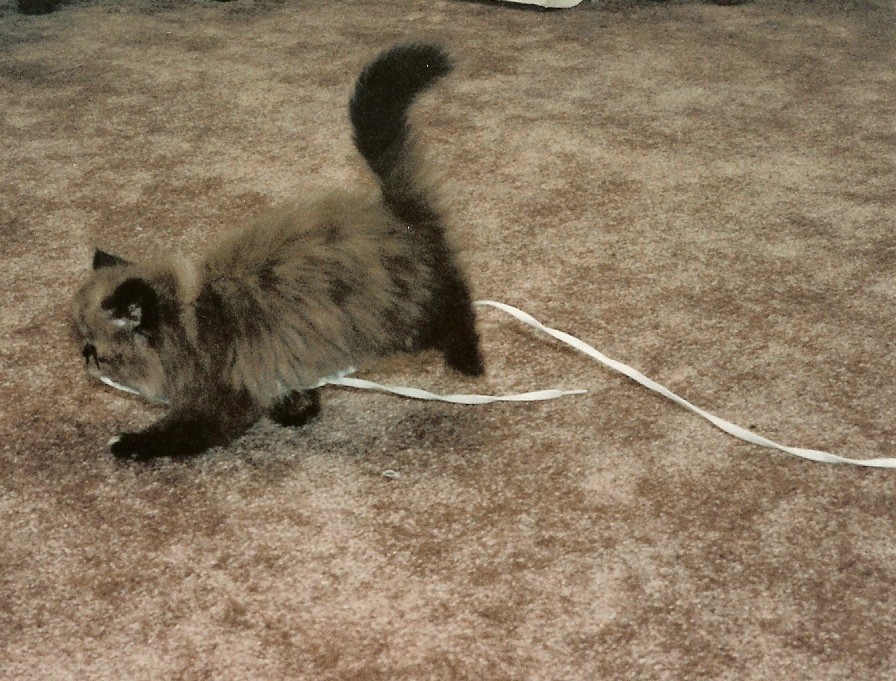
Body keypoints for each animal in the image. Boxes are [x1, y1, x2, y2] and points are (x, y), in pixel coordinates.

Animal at [71, 43, 484, 461]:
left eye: (96, 349)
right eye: (85, 346)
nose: (85, 359)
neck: (190, 323)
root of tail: (394, 211)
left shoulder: (217, 400)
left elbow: (173, 435)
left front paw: (127, 444)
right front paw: (299, 413)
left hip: (405, 319)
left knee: (457, 307)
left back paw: (469, 362)